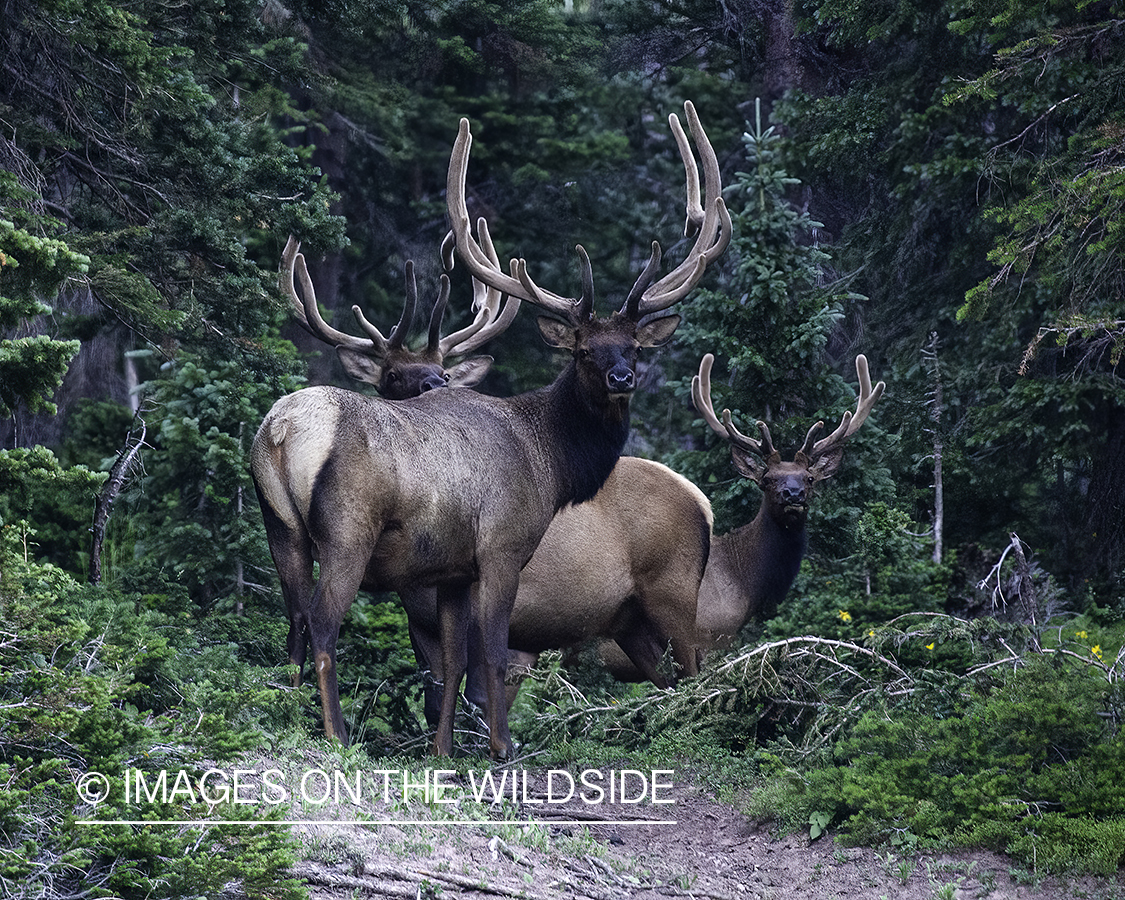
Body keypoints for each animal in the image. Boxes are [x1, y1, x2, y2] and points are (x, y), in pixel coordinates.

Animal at [250, 100, 729, 760]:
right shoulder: (501, 547)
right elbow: (496, 659)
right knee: (323, 624)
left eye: (633, 345)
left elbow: (450, 666)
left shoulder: (450, 572)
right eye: (582, 350)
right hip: (349, 531)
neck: (550, 462)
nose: (623, 377)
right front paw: (501, 747)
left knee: (294, 623)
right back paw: (338, 735)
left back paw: (295, 721)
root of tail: (282, 431)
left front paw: (444, 751)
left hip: (281, 530)